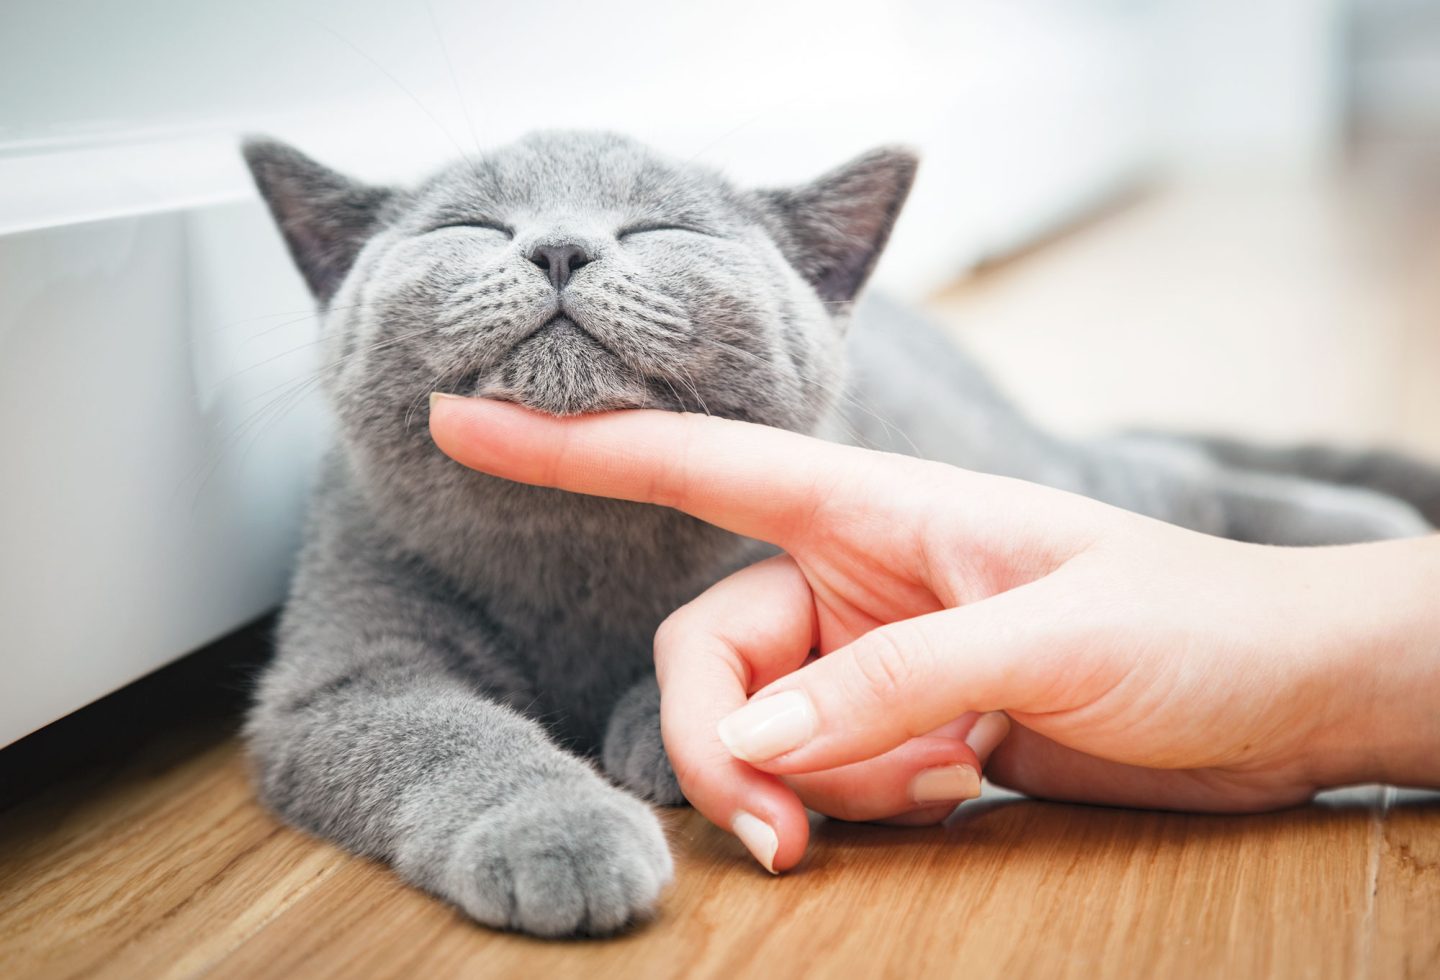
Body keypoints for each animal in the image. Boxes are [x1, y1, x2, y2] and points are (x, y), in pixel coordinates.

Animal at [241, 130, 1434, 932]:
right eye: (470, 227)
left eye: (663, 229)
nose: (562, 248)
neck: (574, 546)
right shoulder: (342, 673)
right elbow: (447, 732)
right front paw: (561, 833)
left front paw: (657, 730)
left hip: (1021, 464)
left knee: (1166, 477)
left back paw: (1368, 529)